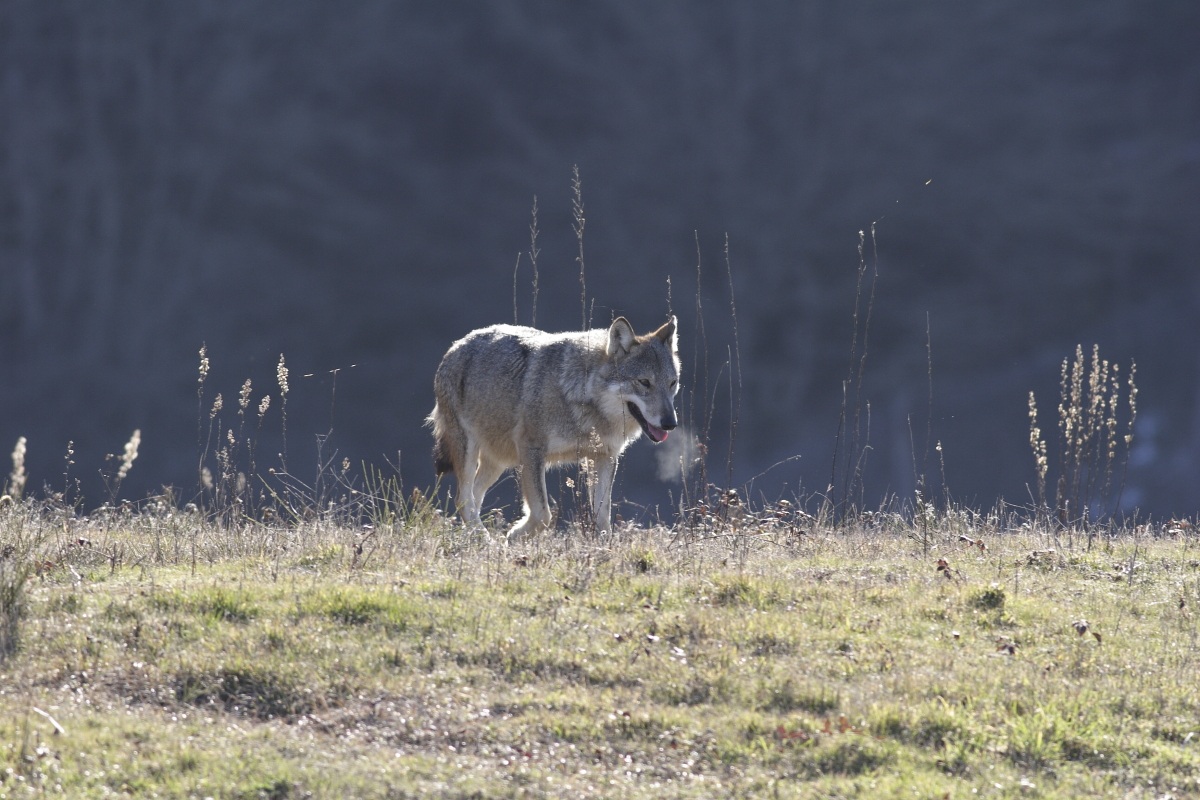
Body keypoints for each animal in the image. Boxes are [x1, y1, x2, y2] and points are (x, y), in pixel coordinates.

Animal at [427, 315, 680, 538]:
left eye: (672, 383)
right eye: (644, 382)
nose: (671, 423)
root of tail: (457, 345)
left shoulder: (605, 457)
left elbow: (603, 518)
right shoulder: (531, 450)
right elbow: (542, 513)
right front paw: (515, 535)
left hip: (498, 462)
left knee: (473, 497)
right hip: (470, 452)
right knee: (463, 499)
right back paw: (486, 540)